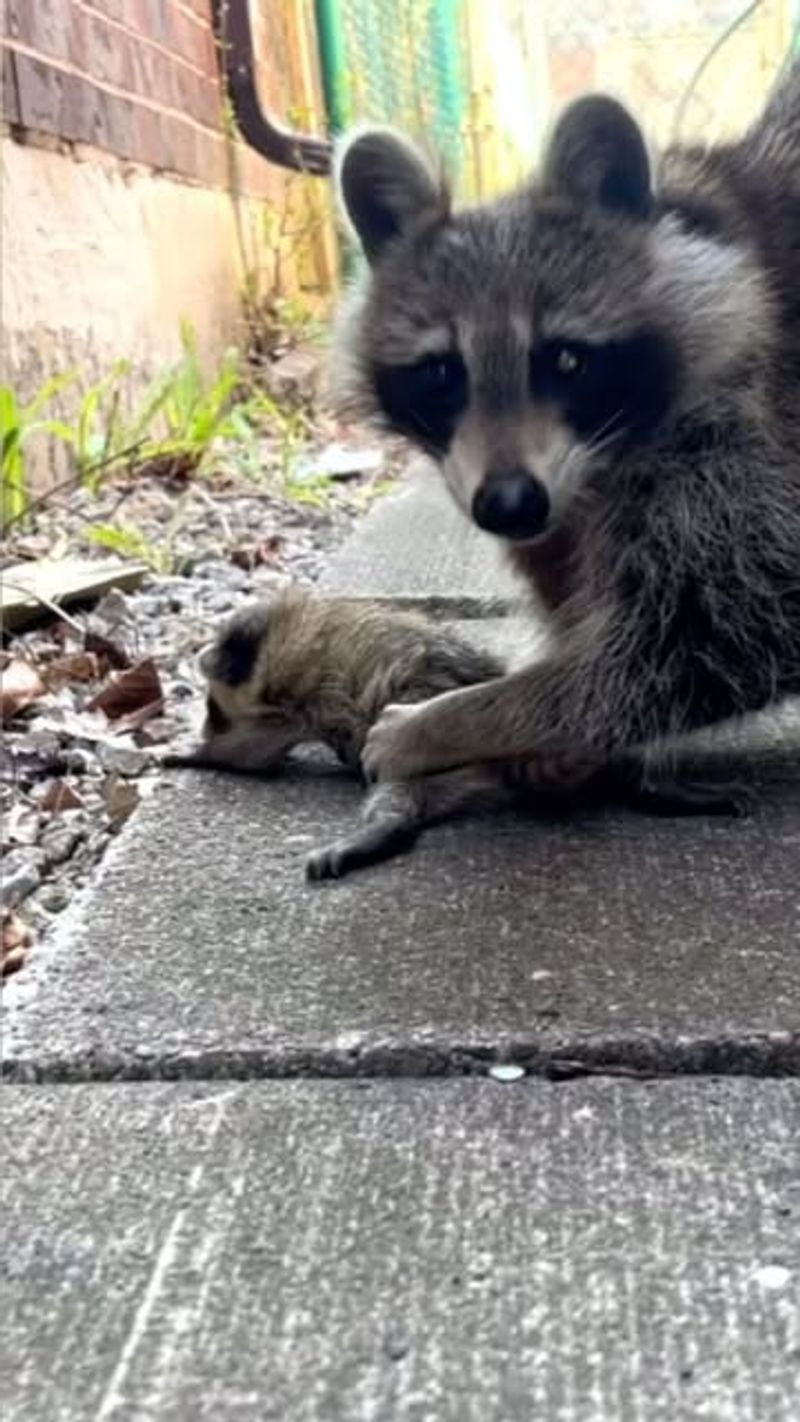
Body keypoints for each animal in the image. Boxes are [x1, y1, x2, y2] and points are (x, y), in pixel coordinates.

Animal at [167, 586, 749, 880]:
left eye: (212, 707)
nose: (206, 721)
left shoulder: (288, 685)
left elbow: (252, 750)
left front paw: (198, 749)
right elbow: (255, 752)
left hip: (432, 742)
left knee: (395, 791)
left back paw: (378, 832)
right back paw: (655, 785)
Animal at [332, 67, 800, 789]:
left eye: (567, 360)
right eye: (441, 374)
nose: (509, 503)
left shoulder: (745, 419)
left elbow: (724, 626)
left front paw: (465, 718)